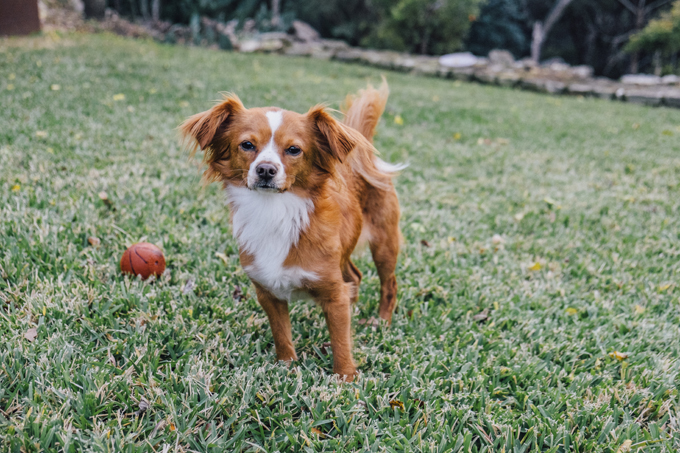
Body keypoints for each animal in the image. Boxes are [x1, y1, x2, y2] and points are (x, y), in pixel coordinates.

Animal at [179, 80, 404, 378]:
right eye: (247, 145)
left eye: (294, 150)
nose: (265, 170)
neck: (274, 211)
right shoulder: (267, 291)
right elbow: (281, 333)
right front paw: (286, 365)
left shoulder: (333, 291)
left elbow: (341, 341)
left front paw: (346, 377)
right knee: (354, 277)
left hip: (384, 243)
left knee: (388, 284)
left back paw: (381, 323)